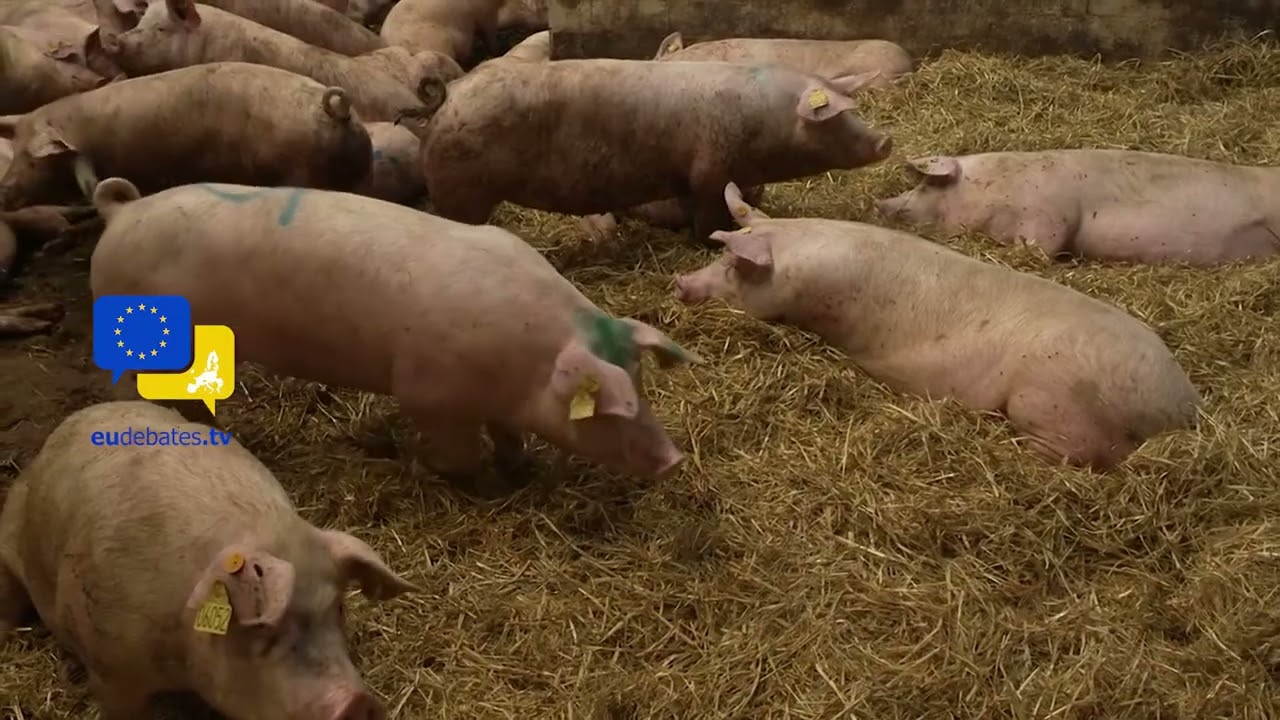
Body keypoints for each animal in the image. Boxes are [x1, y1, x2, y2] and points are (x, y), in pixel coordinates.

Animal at [88, 177, 703, 479]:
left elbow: (508, 437)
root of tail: (121, 213)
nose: (673, 461)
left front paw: (518, 464)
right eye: (604, 405)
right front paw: (422, 466)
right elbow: (460, 456)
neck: (523, 366)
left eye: (642, 382)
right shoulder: (425, 393)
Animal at [417, 59, 892, 241]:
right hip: (462, 192)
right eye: (830, 118)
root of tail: (449, 95)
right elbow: (708, 217)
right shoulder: (708, 172)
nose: (886, 140)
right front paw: (711, 240)